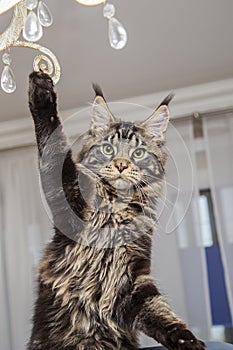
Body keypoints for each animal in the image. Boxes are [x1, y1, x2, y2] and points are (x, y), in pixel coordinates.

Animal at [27, 69, 206, 350]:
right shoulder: (66, 193)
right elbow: (55, 148)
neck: (114, 208)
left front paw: (187, 339)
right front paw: (43, 93)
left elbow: (160, 311)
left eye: (138, 153)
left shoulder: (133, 280)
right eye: (108, 149)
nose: (121, 165)